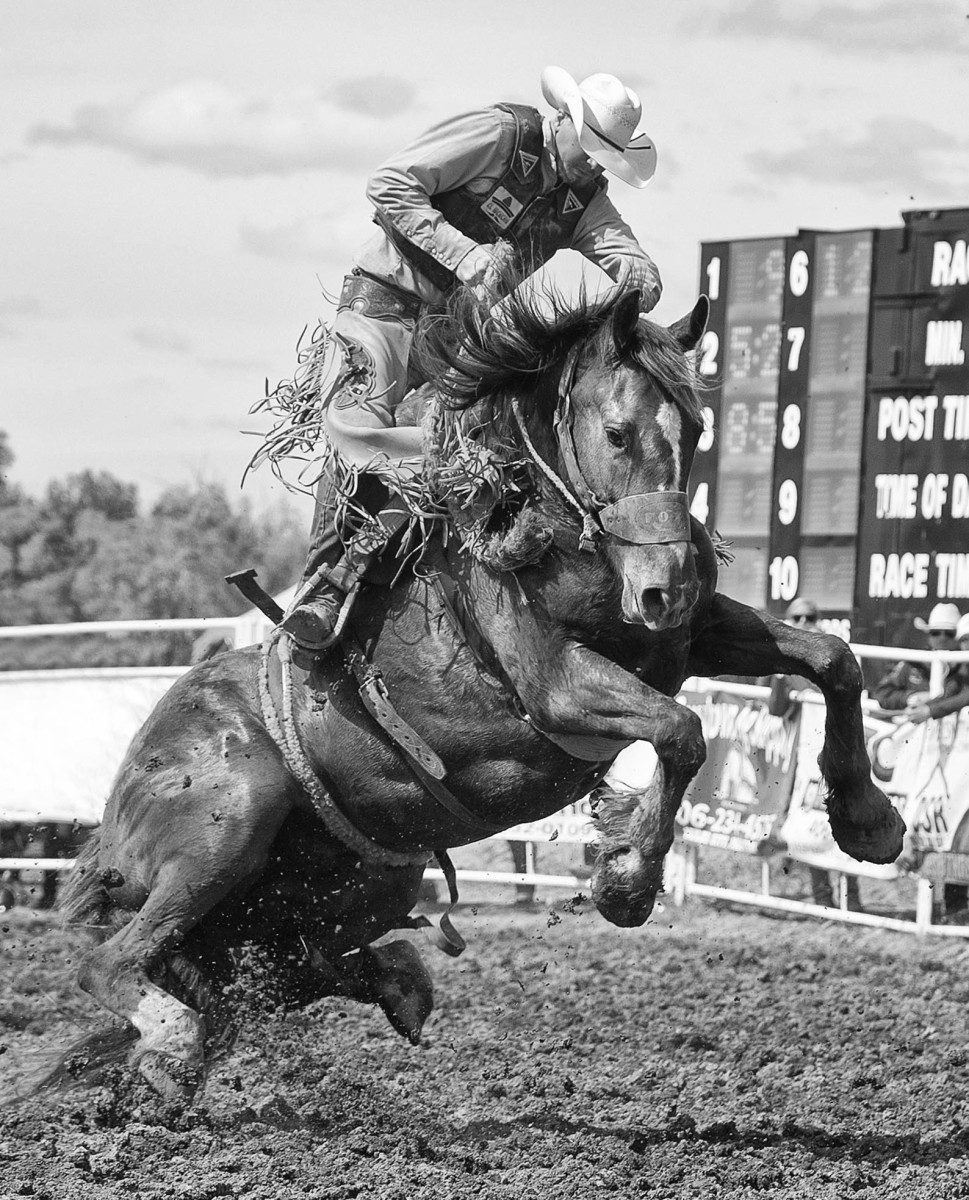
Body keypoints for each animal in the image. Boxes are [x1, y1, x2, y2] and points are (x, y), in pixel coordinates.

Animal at [15, 282, 904, 1106]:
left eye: (695, 431)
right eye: (617, 432)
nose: (667, 584)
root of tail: (107, 836)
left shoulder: (687, 638)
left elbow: (833, 658)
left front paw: (867, 819)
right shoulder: (558, 686)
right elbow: (683, 730)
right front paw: (625, 884)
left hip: (360, 885)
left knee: (276, 973)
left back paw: (389, 985)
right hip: (230, 819)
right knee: (116, 963)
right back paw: (173, 1043)